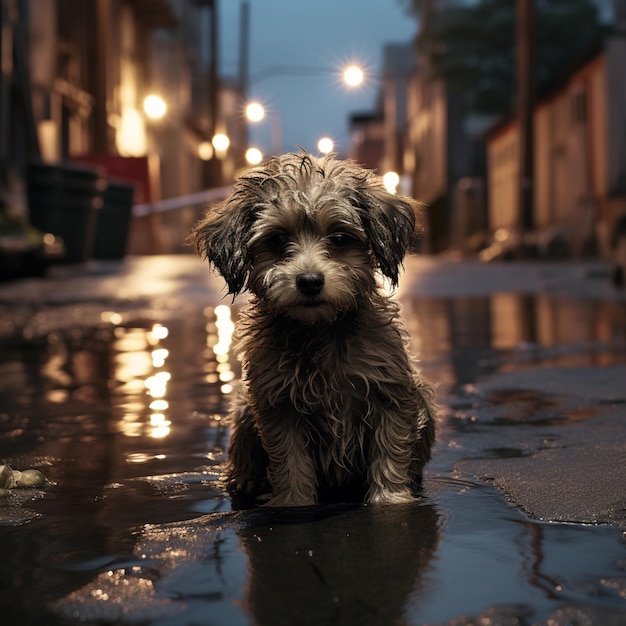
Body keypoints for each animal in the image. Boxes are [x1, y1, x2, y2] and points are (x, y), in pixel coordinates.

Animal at [188, 152, 436, 508]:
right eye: (278, 239)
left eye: (339, 238)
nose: (309, 281)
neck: (319, 330)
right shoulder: (278, 404)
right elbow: (290, 461)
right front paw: (293, 503)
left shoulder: (390, 393)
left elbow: (390, 451)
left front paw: (391, 499)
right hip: (245, 409)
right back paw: (245, 480)